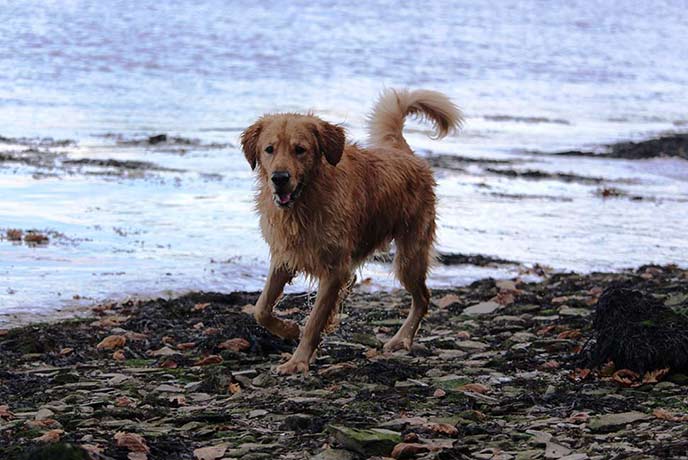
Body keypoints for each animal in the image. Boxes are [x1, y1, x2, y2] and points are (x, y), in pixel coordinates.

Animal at [242, 89, 462, 374]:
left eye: (300, 150)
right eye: (269, 149)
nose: (279, 178)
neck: (306, 201)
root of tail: (404, 152)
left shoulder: (335, 270)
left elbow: (314, 321)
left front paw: (298, 361)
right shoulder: (285, 256)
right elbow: (261, 309)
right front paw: (289, 329)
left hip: (410, 256)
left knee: (423, 298)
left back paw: (401, 339)